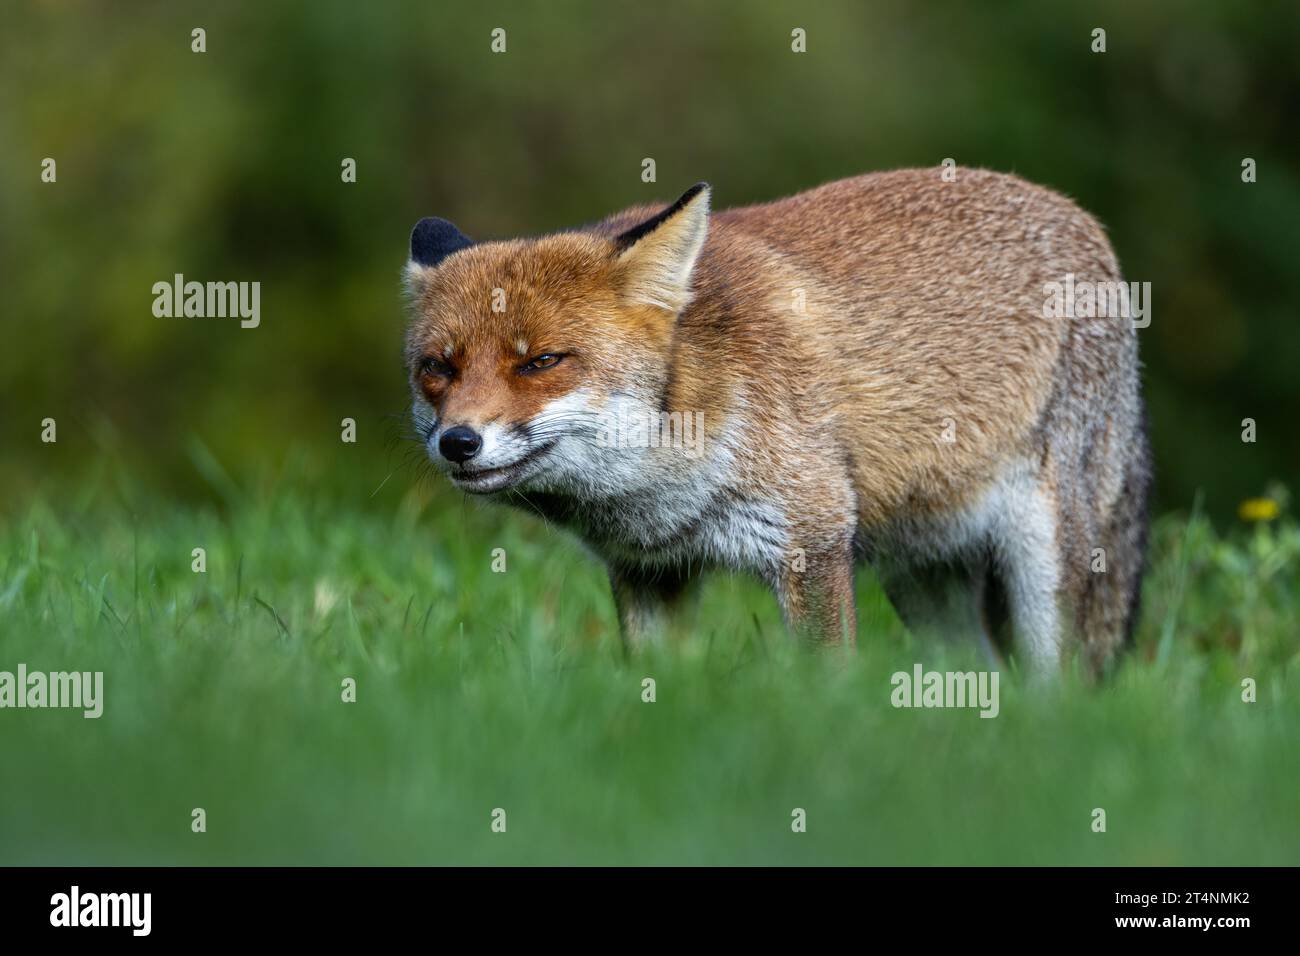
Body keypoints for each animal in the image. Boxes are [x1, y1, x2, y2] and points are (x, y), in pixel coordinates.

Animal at [402, 168, 1152, 676]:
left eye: (541, 362)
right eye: (438, 368)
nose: (458, 442)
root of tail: (1080, 216)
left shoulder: (812, 543)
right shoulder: (649, 572)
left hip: (1048, 567)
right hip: (925, 580)